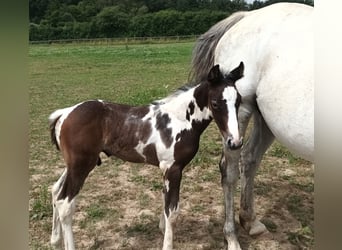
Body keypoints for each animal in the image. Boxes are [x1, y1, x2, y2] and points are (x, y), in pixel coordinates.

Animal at [190, 2, 312, 250]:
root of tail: (245, 16)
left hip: (266, 118)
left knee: (250, 158)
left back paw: (250, 221)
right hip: (240, 114)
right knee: (229, 171)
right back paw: (232, 238)